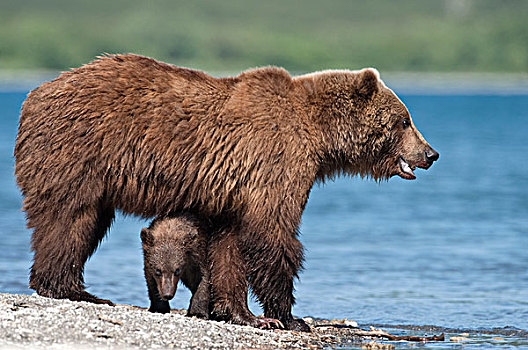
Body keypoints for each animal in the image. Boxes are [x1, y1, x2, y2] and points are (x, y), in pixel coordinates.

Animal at [14, 54, 440, 330]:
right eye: (405, 120)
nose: (431, 154)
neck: (320, 139)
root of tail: (33, 95)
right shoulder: (275, 165)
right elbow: (273, 235)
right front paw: (289, 317)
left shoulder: (232, 193)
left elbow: (229, 248)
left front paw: (241, 313)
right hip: (78, 152)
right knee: (71, 219)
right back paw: (73, 289)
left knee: (83, 222)